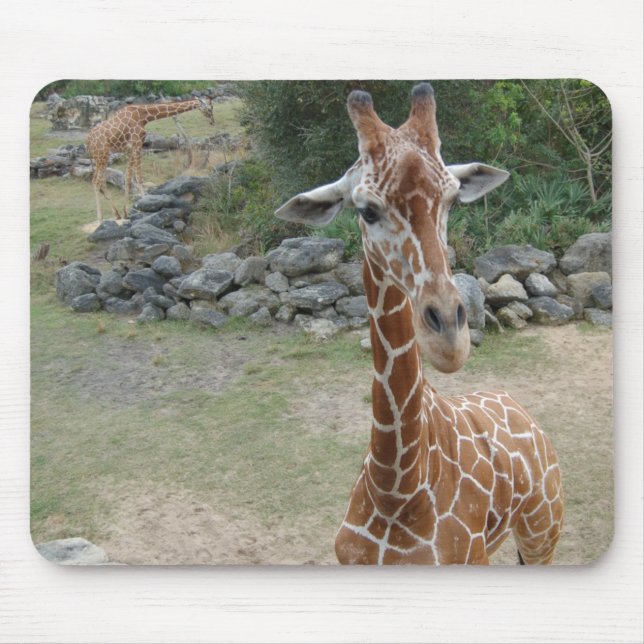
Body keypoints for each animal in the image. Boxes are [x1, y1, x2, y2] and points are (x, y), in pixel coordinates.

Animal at [85, 96, 214, 222]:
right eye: (209, 109)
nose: (212, 121)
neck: (143, 116)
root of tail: (87, 142)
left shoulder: (130, 149)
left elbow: (128, 177)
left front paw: (126, 213)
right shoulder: (137, 144)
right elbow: (139, 177)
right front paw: (145, 203)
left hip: (100, 158)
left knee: (100, 181)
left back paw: (116, 215)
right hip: (102, 155)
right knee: (96, 182)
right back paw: (100, 218)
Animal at [275, 83, 564, 565]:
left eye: (452, 199)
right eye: (366, 210)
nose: (449, 340)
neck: (397, 491)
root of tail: (519, 407)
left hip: (543, 531)